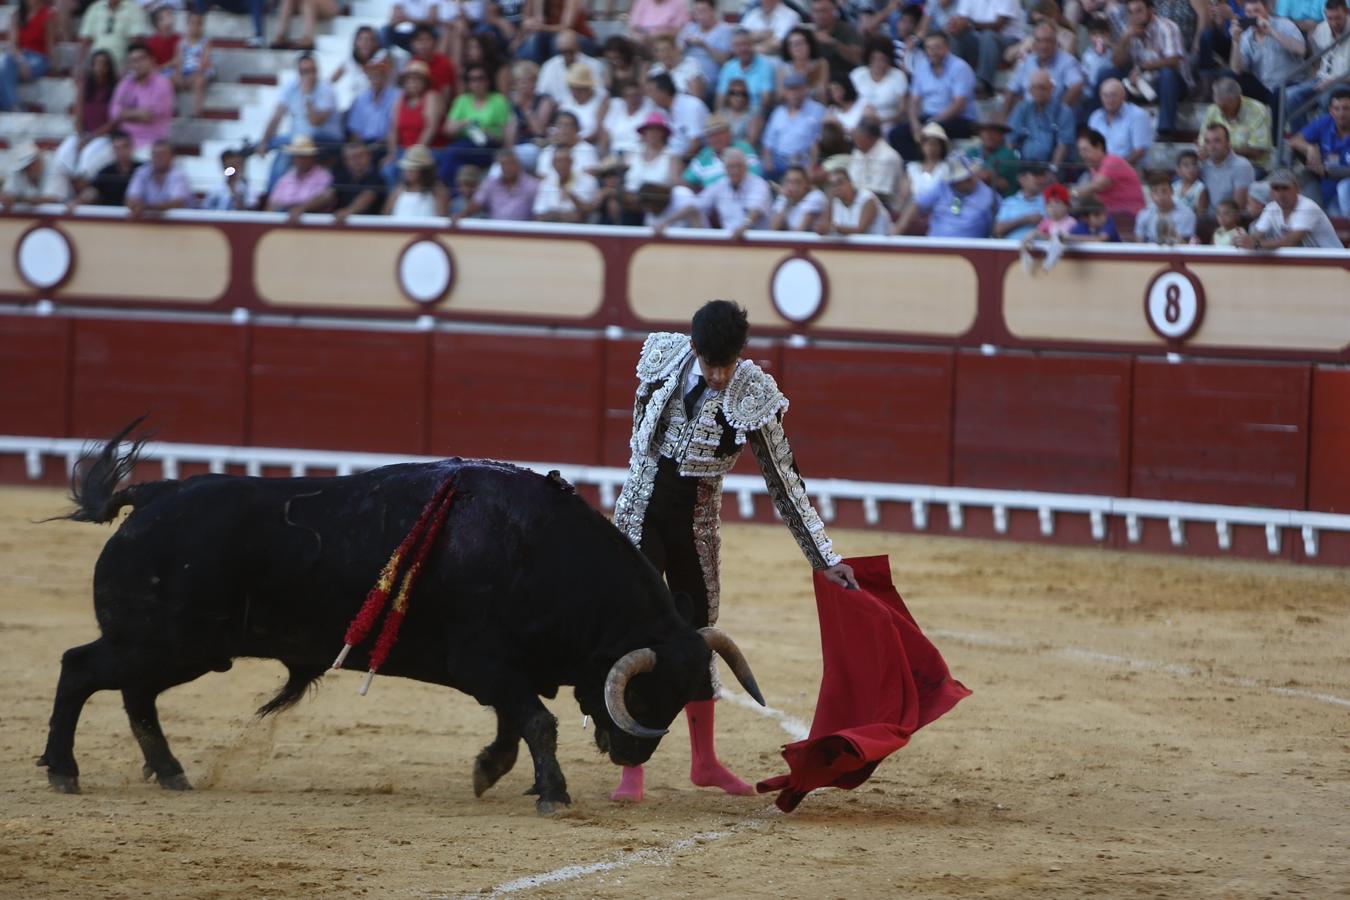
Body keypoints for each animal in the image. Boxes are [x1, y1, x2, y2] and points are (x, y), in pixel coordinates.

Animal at [39, 426, 761, 814]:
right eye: (648, 692)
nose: (633, 752)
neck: (544, 554)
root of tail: (151, 495)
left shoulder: (504, 672)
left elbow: (516, 723)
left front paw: (491, 771)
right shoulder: (485, 663)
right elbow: (537, 722)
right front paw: (551, 792)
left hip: (180, 650)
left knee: (134, 695)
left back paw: (170, 773)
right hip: (165, 643)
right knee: (79, 669)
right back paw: (63, 771)